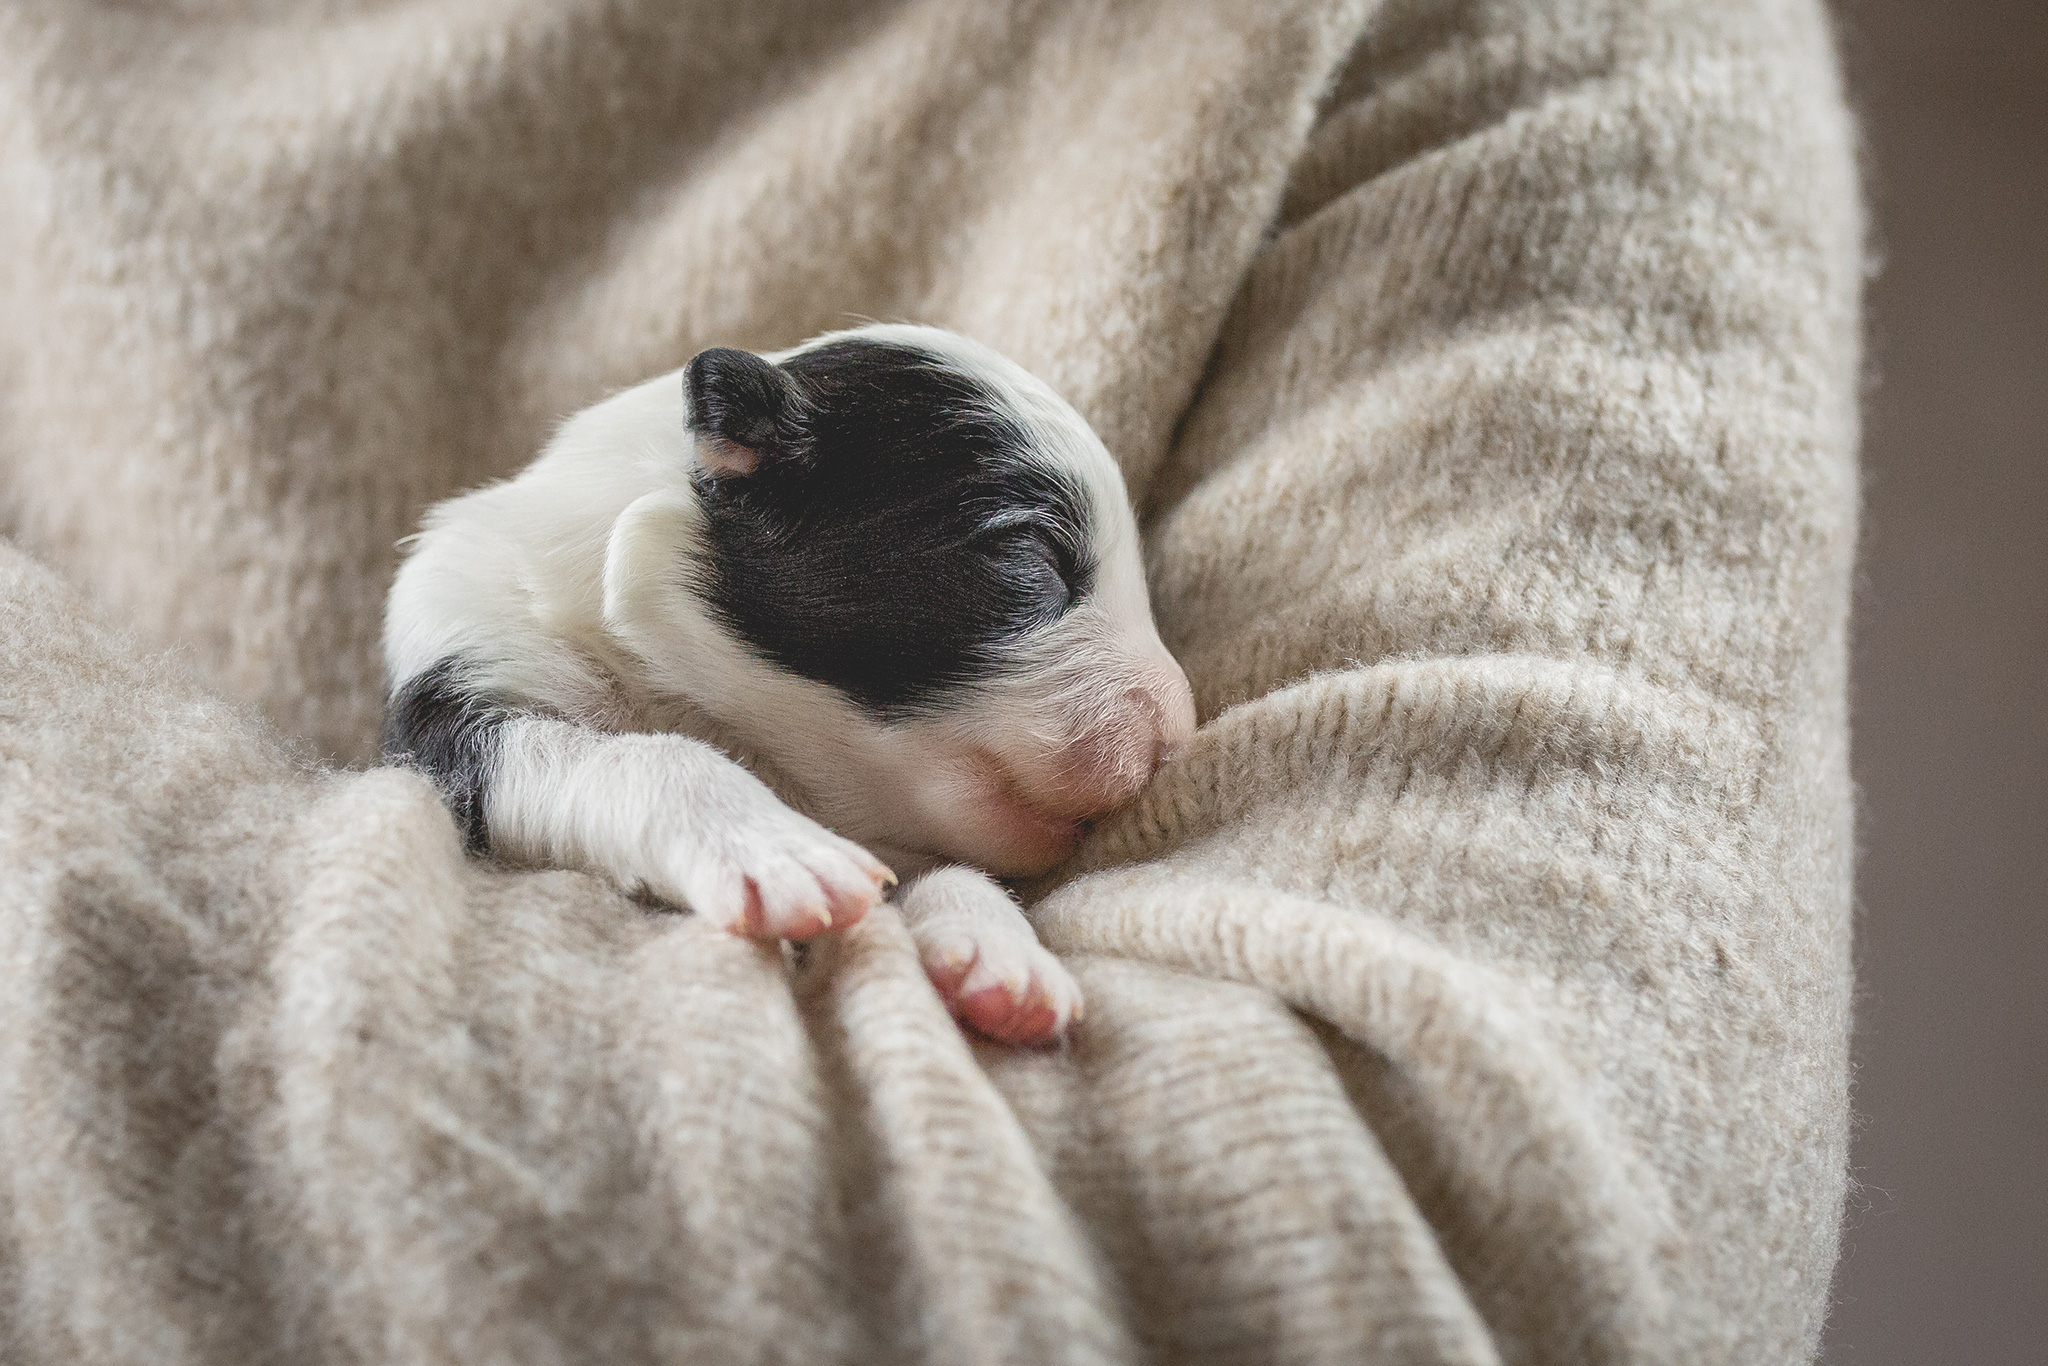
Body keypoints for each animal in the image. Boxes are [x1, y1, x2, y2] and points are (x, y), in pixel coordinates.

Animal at [380, 323, 1196, 1048]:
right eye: (1033, 556)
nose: (1178, 732)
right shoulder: (456, 696)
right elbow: (645, 754)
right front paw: (780, 851)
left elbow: (953, 869)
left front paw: (1001, 952)